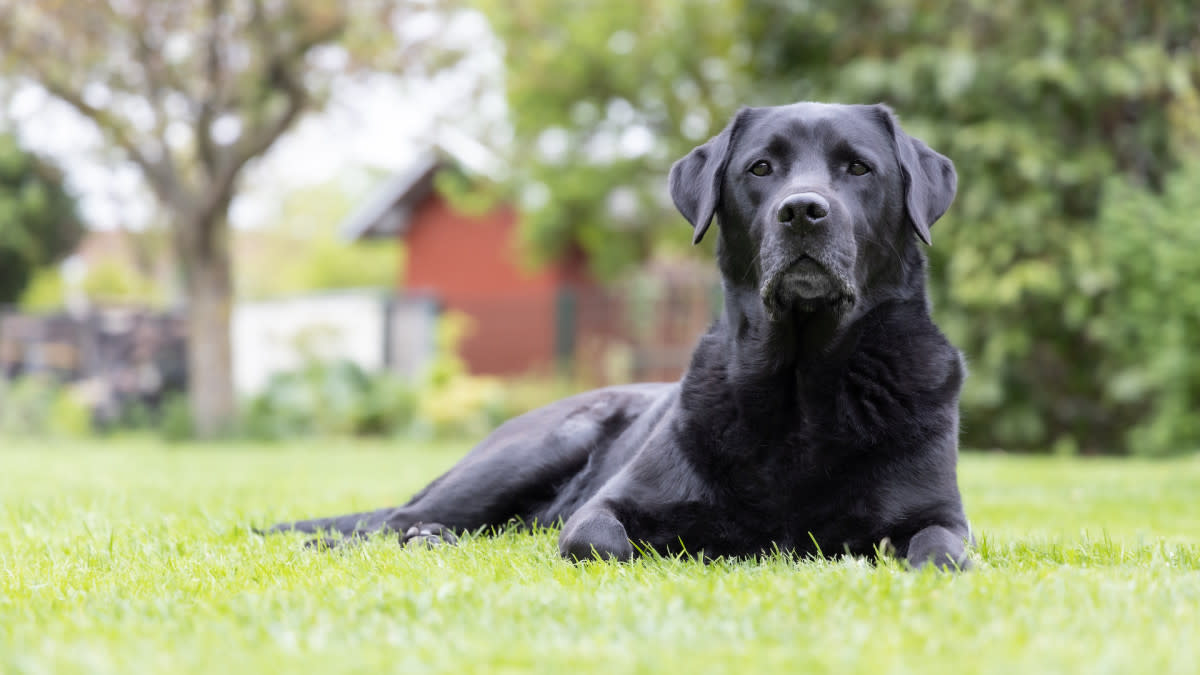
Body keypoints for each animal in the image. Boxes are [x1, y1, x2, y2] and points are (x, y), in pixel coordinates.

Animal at [267, 102, 969, 566]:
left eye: (859, 168)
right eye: (762, 168)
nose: (801, 210)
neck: (800, 385)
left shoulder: (943, 518)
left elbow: (941, 552)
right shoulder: (605, 507)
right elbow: (599, 539)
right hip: (537, 447)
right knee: (392, 521)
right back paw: (400, 538)